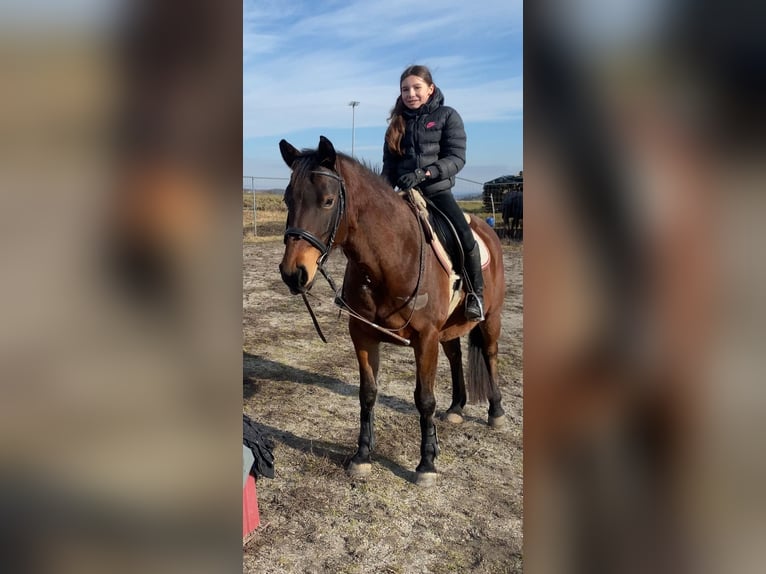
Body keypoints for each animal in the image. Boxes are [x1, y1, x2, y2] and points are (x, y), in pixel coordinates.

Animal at [280, 137, 508, 488]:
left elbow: (424, 398)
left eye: (328, 201)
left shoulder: (425, 338)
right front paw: (362, 455)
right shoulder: (362, 335)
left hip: (490, 317)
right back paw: (457, 407)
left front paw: (426, 463)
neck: (392, 259)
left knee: (491, 354)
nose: (293, 273)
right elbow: (368, 393)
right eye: (287, 199)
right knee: (456, 355)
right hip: (447, 329)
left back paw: (495, 412)